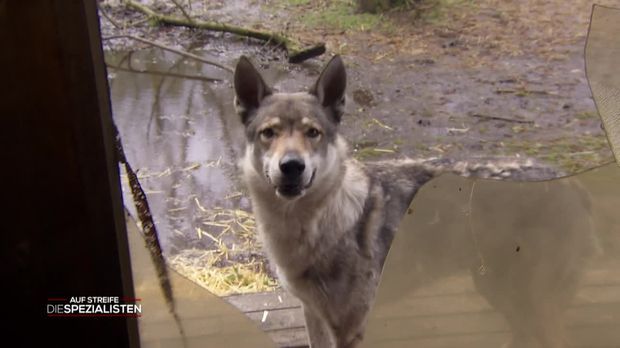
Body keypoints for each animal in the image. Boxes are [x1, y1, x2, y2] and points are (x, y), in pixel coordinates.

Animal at [234, 55, 596, 346]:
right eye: (269, 133)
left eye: (313, 133)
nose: (292, 166)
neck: (309, 225)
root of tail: (570, 180)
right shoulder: (313, 313)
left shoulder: (351, 328)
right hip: (498, 290)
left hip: (524, 298)